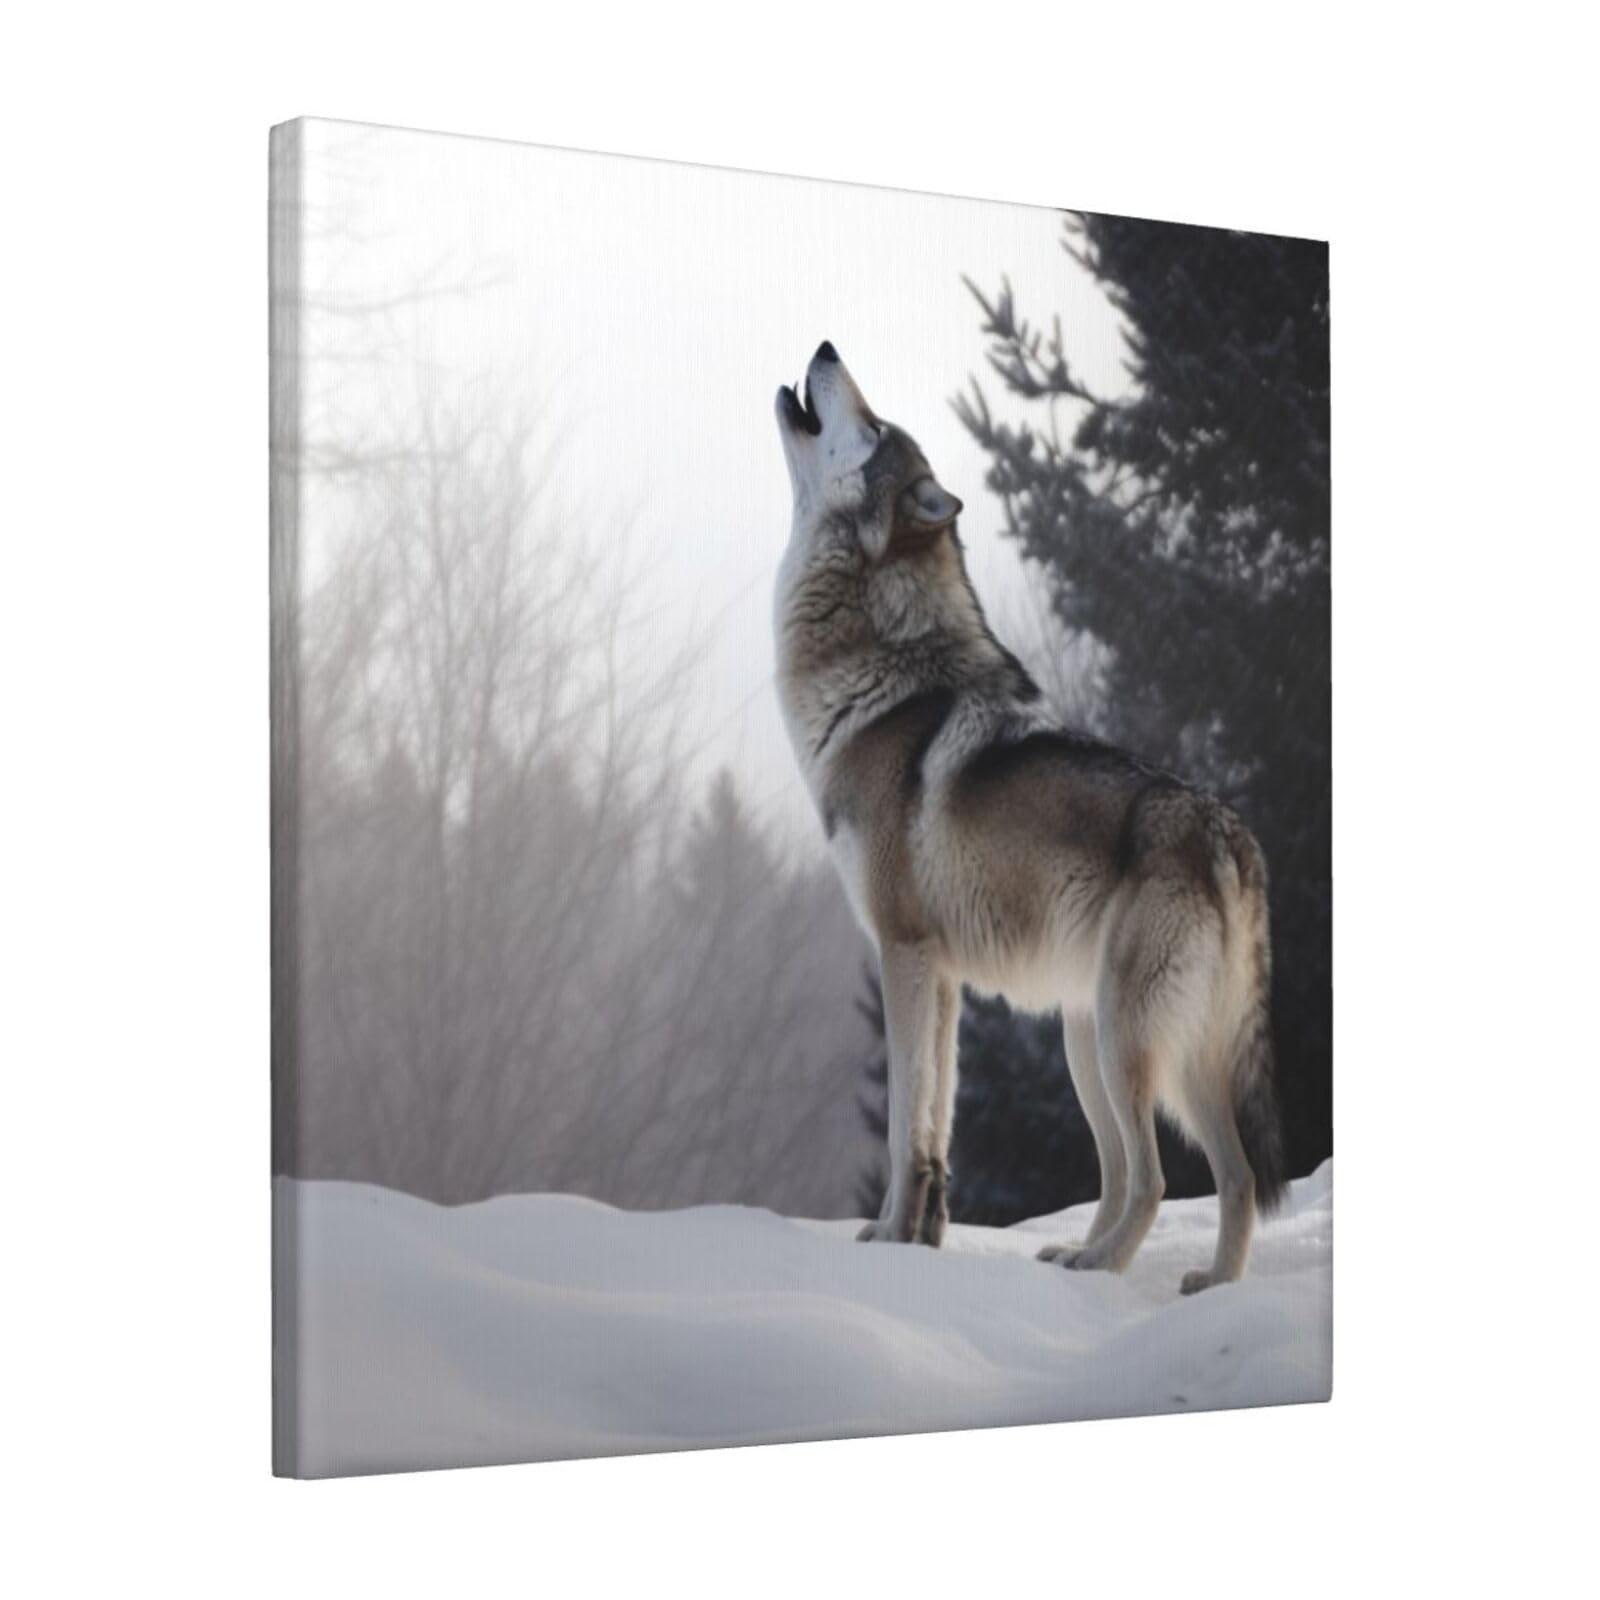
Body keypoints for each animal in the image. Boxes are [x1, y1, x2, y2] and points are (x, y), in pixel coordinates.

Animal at [773, 342, 1288, 1292]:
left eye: (873, 427)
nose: (826, 349)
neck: (878, 676)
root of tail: (1227, 834)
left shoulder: (902, 952)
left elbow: (902, 1125)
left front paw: (891, 1237)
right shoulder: (941, 977)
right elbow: (934, 1126)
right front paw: (920, 1238)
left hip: (1124, 1040)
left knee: (1156, 1178)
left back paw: (1102, 1267)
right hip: (1116, 1044)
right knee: (1218, 1175)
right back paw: (1186, 1283)